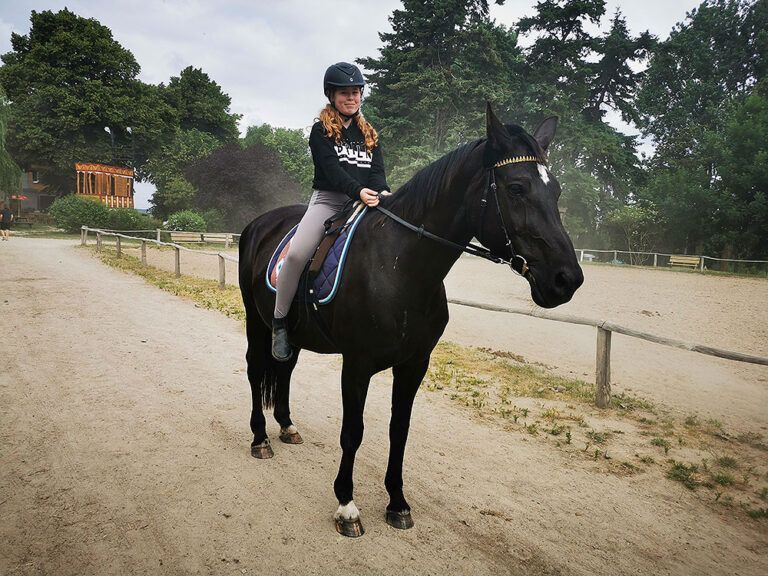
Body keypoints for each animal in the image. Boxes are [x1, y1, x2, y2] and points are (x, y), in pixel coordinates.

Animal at [238, 104, 584, 537]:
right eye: (517, 188)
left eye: (556, 192)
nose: (567, 279)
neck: (399, 265)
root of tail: (258, 223)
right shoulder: (357, 365)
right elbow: (353, 432)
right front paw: (347, 506)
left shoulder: (414, 364)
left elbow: (398, 431)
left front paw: (397, 502)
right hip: (257, 322)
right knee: (255, 371)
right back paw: (260, 439)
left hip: (293, 334)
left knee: (284, 368)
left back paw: (286, 426)